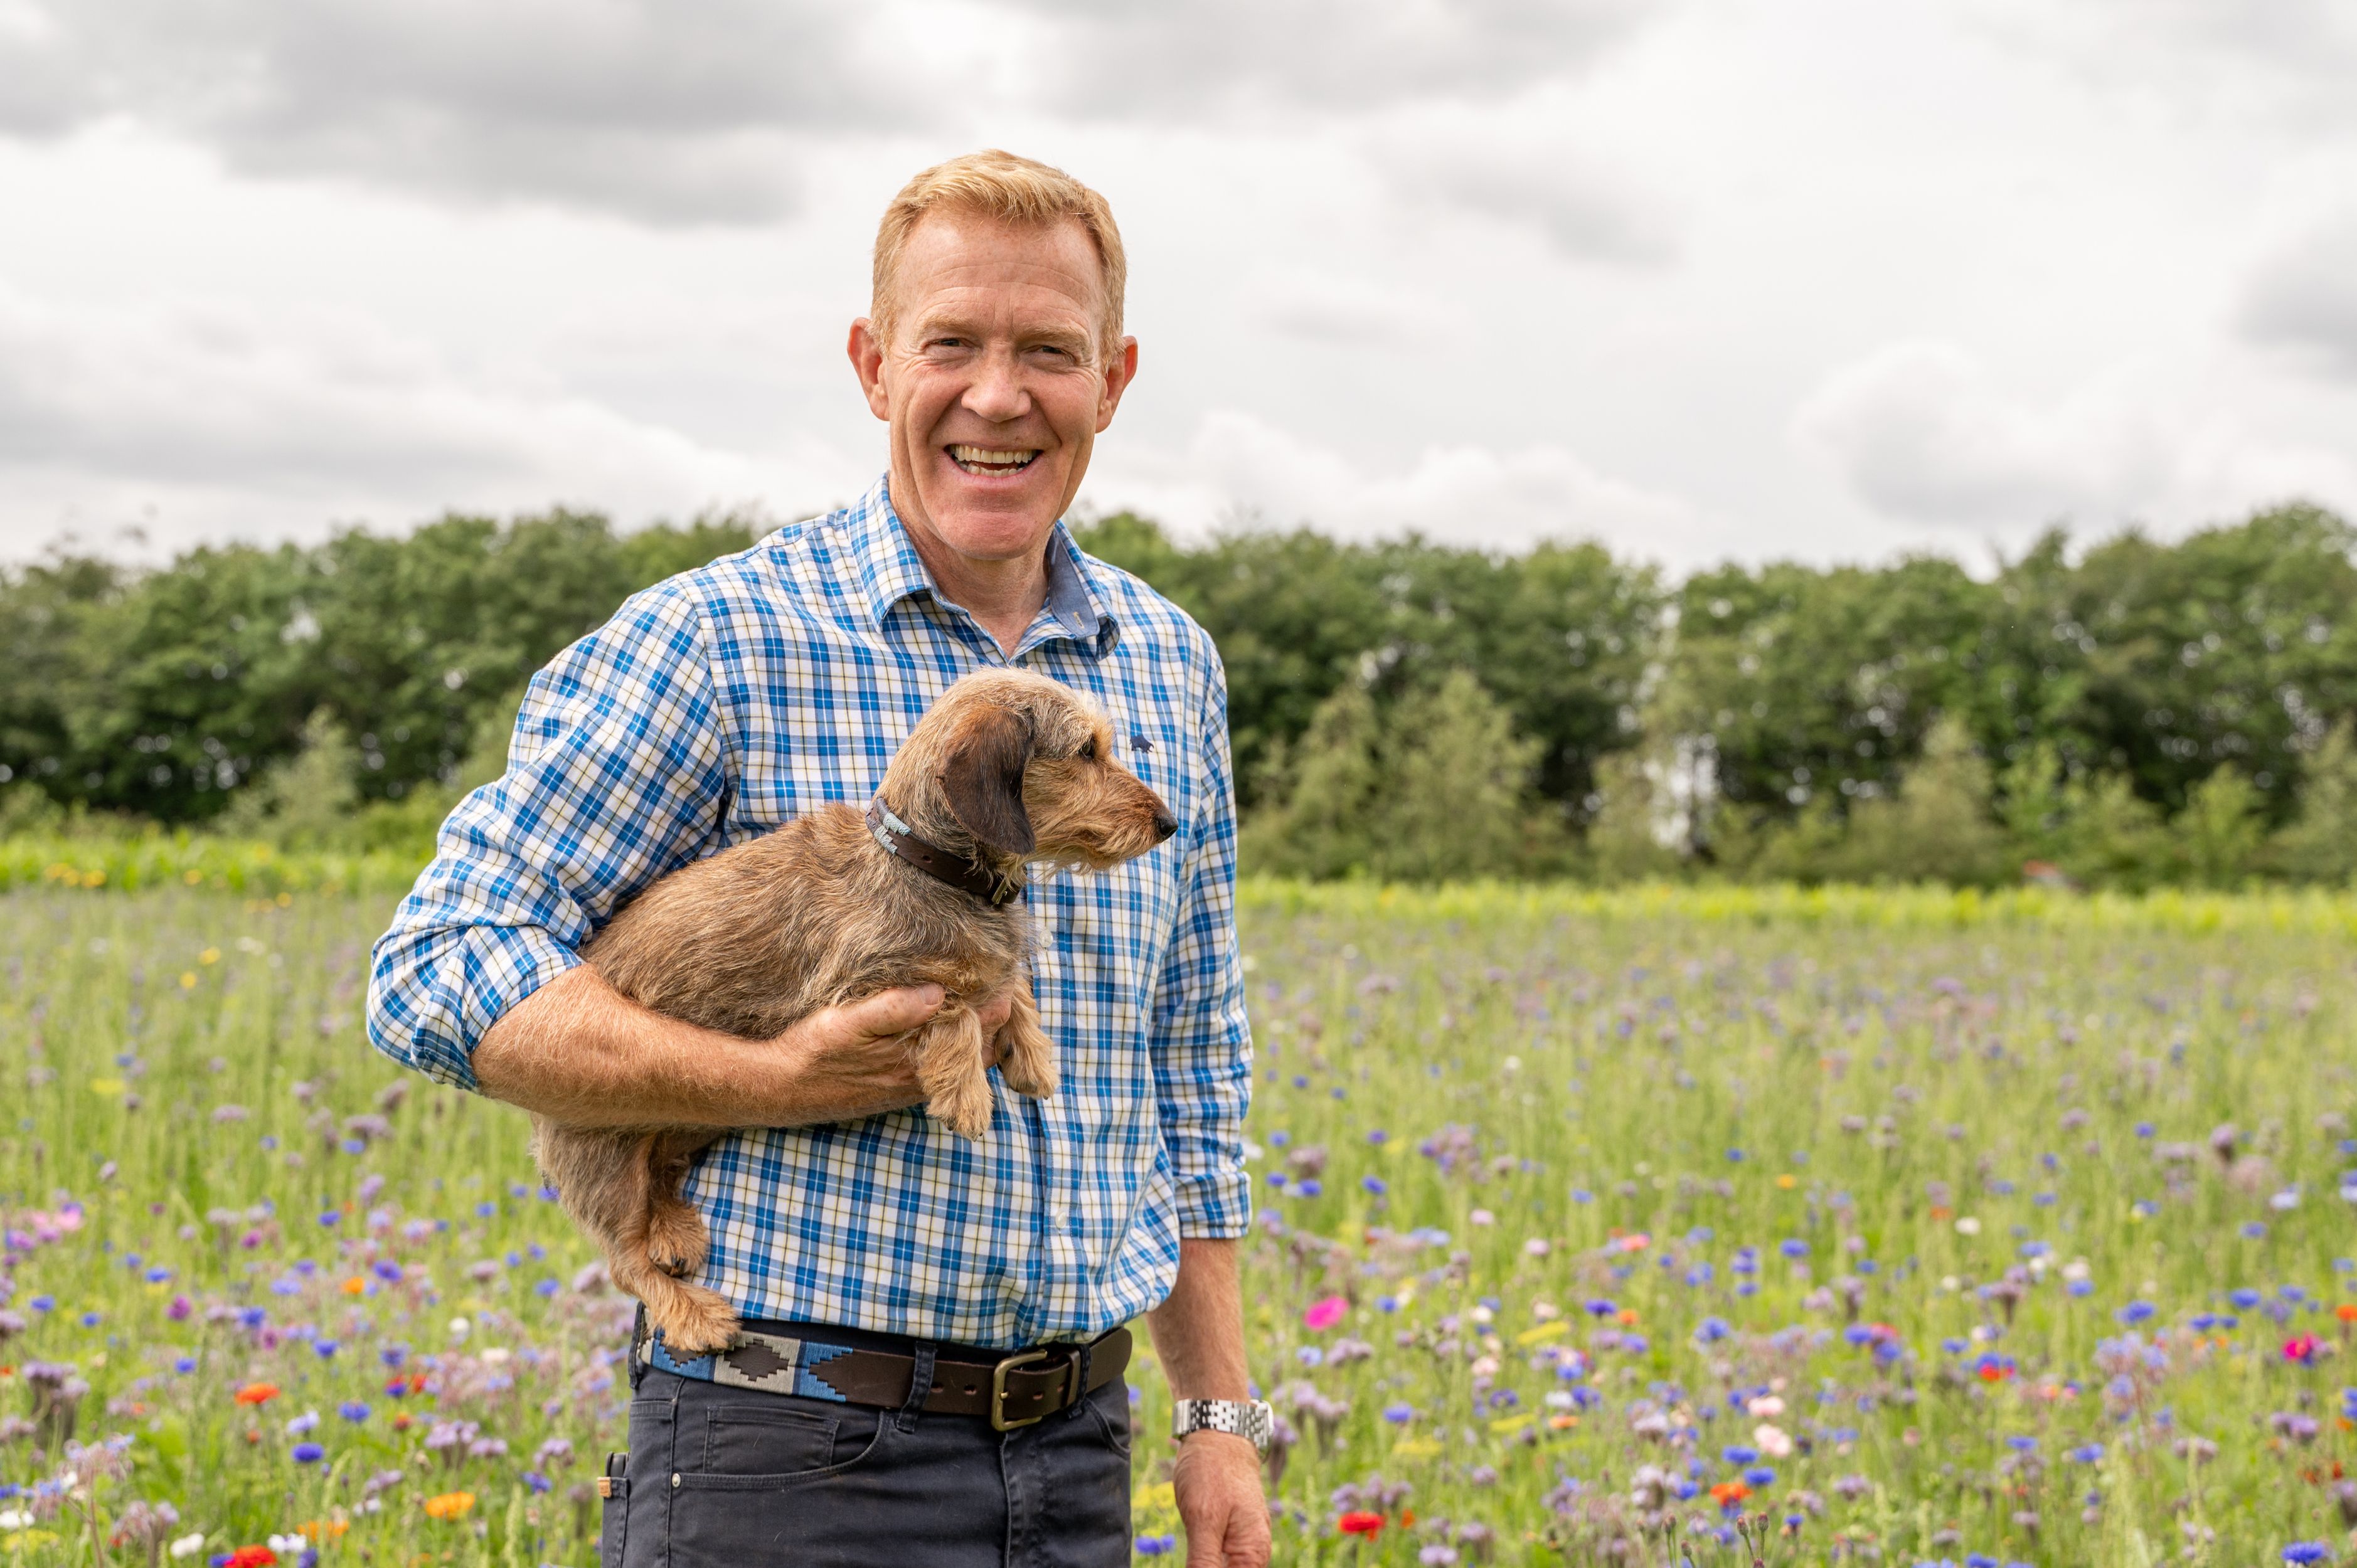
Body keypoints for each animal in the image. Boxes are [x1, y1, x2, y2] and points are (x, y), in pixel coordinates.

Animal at [535, 665, 1178, 1348]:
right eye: (1086, 750)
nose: (1169, 823)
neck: (930, 868)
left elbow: (1008, 983)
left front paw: (1031, 1053)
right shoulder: (852, 992)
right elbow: (950, 1004)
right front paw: (966, 1090)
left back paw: (673, 1228)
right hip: (606, 1163)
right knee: (625, 1262)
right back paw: (691, 1312)